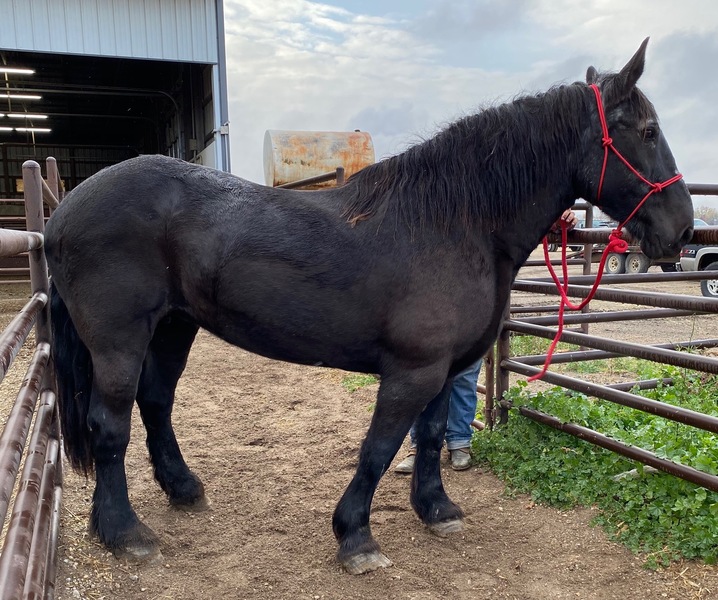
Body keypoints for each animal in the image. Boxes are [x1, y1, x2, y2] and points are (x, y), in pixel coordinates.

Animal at [44, 39, 693, 575]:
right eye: (648, 130)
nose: (683, 231)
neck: (454, 223)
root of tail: (64, 210)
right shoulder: (411, 372)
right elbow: (379, 448)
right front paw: (355, 537)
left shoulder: (446, 370)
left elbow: (429, 437)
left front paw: (436, 509)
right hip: (119, 339)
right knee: (110, 425)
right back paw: (125, 533)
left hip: (175, 327)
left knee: (156, 403)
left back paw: (183, 489)